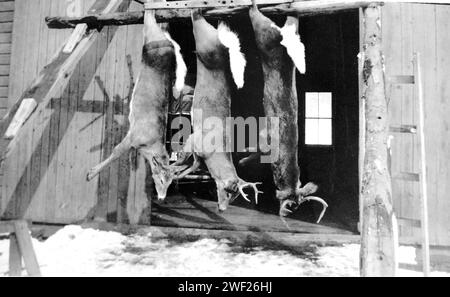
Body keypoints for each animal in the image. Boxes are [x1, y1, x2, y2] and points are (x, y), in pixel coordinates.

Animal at [87, 12, 187, 200]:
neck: (148, 145)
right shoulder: (133, 136)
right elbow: (116, 151)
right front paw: (90, 174)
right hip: (151, 43)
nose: (161, 198)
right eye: (161, 180)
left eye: (170, 182)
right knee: (151, 22)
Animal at [175, 10, 260, 212]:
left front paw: (175, 175)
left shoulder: (198, 155)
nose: (222, 208)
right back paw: (195, 11)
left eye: (236, 196)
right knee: (198, 22)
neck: (215, 151)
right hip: (206, 45)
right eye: (229, 190)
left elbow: (192, 165)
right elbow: (184, 158)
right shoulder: (194, 138)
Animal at [250, 1, 326, 221]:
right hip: (265, 37)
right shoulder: (266, 142)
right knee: (258, 18)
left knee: (292, 20)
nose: (289, 209)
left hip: (282, 34)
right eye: (292, 204)